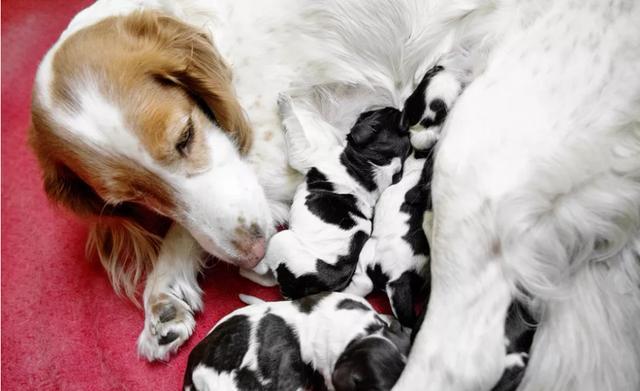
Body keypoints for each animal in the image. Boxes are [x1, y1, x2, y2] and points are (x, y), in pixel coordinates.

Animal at [258, 96, 412, 298]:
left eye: (371, 113)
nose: (365, 108)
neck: (378, 163)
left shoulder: (307, 154)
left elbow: (294, 125)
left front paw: (286, 103)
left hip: (282, 240)